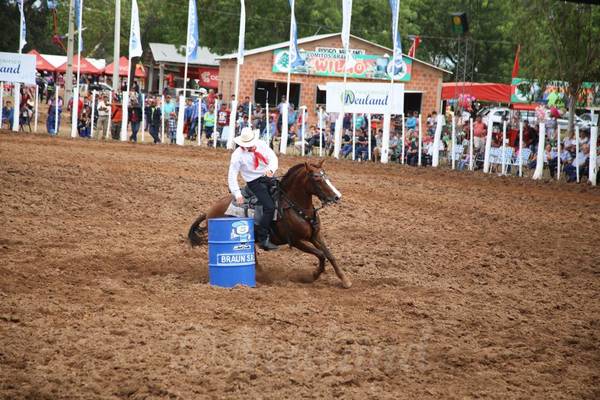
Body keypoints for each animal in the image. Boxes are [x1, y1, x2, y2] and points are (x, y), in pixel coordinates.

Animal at [185, 159, 350, 288]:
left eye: (326, 176)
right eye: (316, 178)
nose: (337, 197)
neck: (295, 206)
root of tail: (209, 211)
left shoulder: (315, 236)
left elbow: (329, 255)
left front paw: (345, 280)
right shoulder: (296, 241)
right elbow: (321, 254)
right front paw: (313, 275)